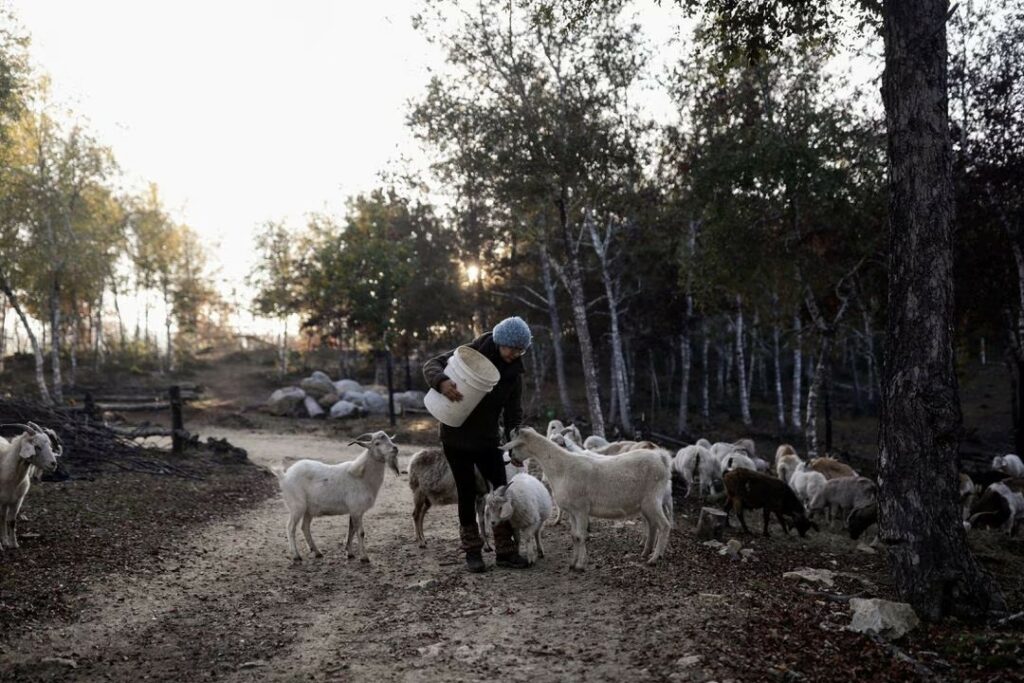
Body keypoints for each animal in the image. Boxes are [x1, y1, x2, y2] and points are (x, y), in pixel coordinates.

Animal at [280, 432, 399, 561]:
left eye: (390, 440)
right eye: (377, 443)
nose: (395, 448)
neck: (361, 477)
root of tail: (285, 475)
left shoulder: (353, 511)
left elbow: (351, 530)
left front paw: (350, 553)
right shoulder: (357, 510)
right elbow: (360, 532)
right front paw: (364, 557)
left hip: (308, 510)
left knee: (305, 527)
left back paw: (317, 552)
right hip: (297, 506)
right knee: (291, 527)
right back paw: (296, 555)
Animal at [501, 428, 671, 573]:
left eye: (515, 445)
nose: (511, 458)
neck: (561, 467)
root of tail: (662, 458)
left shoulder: (581, 509)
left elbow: (581, 536)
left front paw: (581, 565)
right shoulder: (572, 511)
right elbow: (574, 536)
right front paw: (573, 564)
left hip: (652, 499)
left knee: (665, 526)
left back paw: (655, 558)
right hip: (646, 503)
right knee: (653, 525)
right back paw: (646, 552)